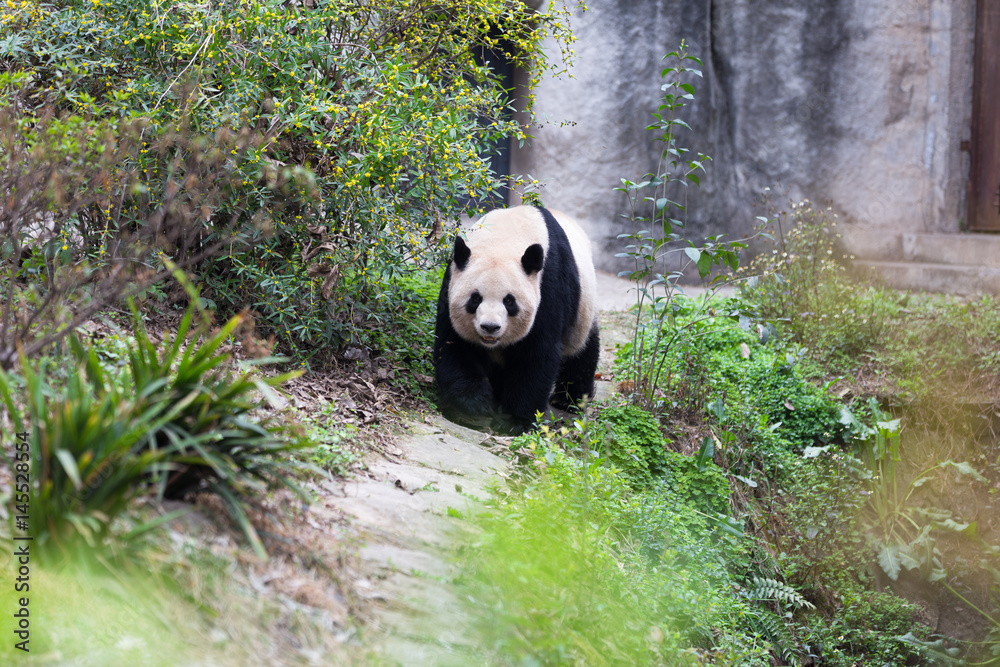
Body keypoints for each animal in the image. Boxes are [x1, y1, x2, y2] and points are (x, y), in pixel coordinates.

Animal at [434, 204, 596, 434]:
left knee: (582, 349)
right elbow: (455, 344)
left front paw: (515, 421)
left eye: (509, 301)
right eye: (475, 298)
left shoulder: (549, 286)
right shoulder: (451, 281)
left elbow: (536, 355)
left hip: (583, 309)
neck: (503, 239)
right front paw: (475, 404)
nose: (490, 327)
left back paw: (569, 400)